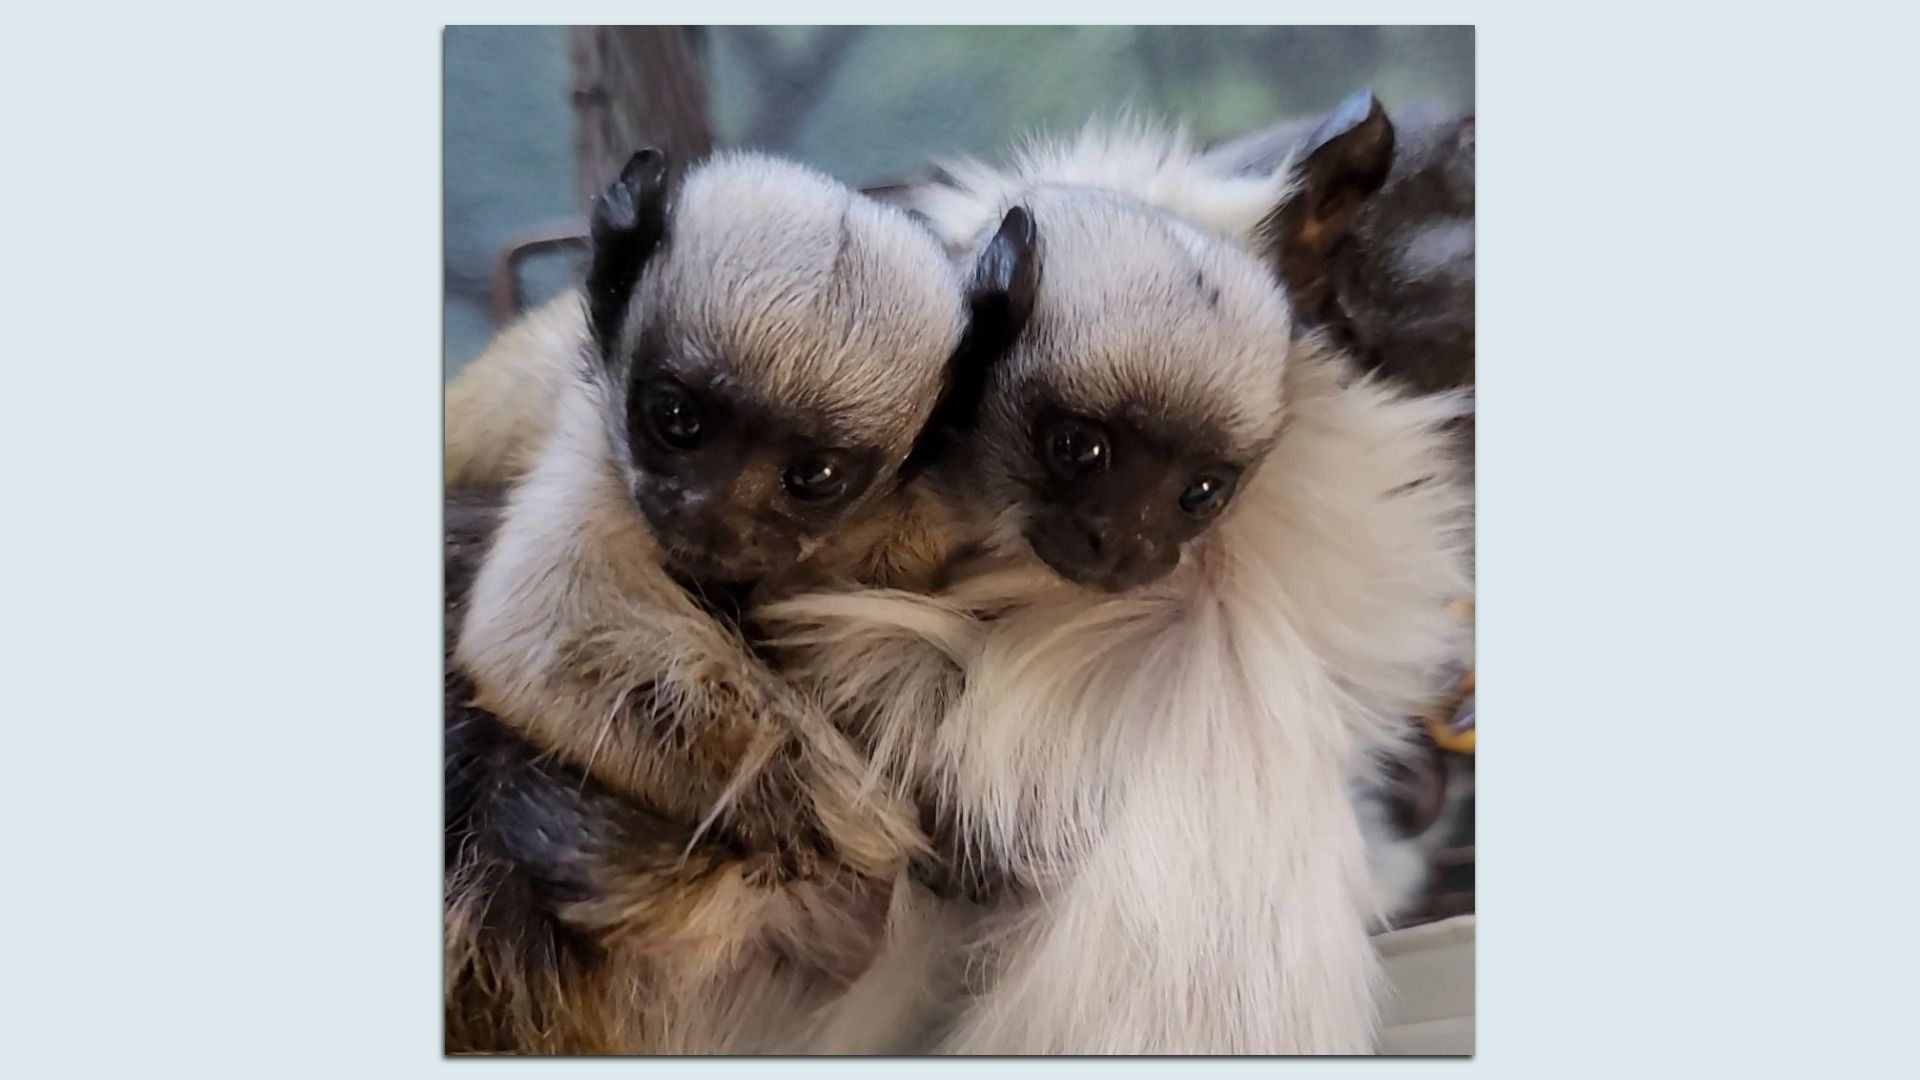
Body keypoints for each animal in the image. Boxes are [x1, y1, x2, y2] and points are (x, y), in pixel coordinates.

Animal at [444, 146, 1035, 1054]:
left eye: (811, 475)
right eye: (678, 420)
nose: (713, 516)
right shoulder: (594, 445)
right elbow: (541, 631)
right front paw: (846, 830)